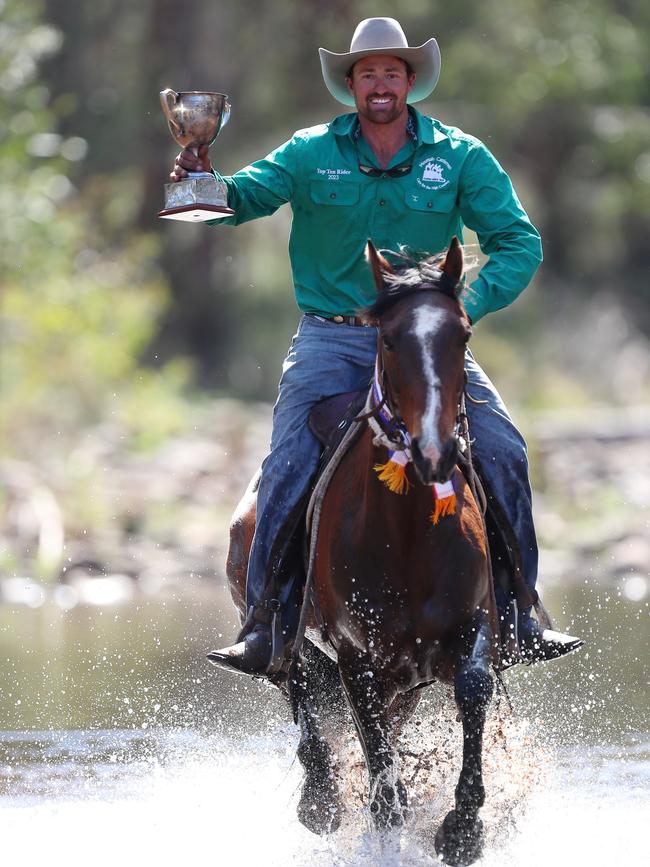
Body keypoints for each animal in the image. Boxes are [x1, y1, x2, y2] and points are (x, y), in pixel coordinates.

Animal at [221, 234, 496, 864]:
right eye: (390, 339)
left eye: (463, 335)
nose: (434, 450)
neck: (409, 538)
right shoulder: (356, 658)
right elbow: (381, 784)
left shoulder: (469, 629)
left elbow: (473, 688)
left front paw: (462, 828)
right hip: (292, 635)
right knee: (294, 682)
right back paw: (319, 798)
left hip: (407, 679)